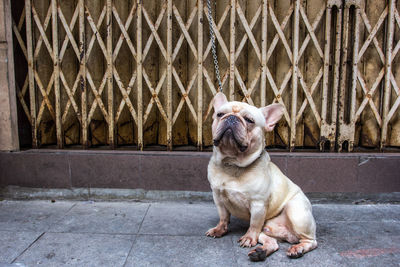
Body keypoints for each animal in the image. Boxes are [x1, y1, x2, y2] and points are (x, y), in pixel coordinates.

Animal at [206, 92, 316, 262]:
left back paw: (298, 249)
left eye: (249, 120)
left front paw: (248, 238)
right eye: (220, 114)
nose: (231, 118)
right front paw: (219, 229)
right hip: (267, 230)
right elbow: (223, 216)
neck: (232, 163)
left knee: (311, 241)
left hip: (296, 213)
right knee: (272, 243)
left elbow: (254, 224)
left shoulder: (258, 204)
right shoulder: (218, 197)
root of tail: (289, 236)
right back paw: (260, 252)